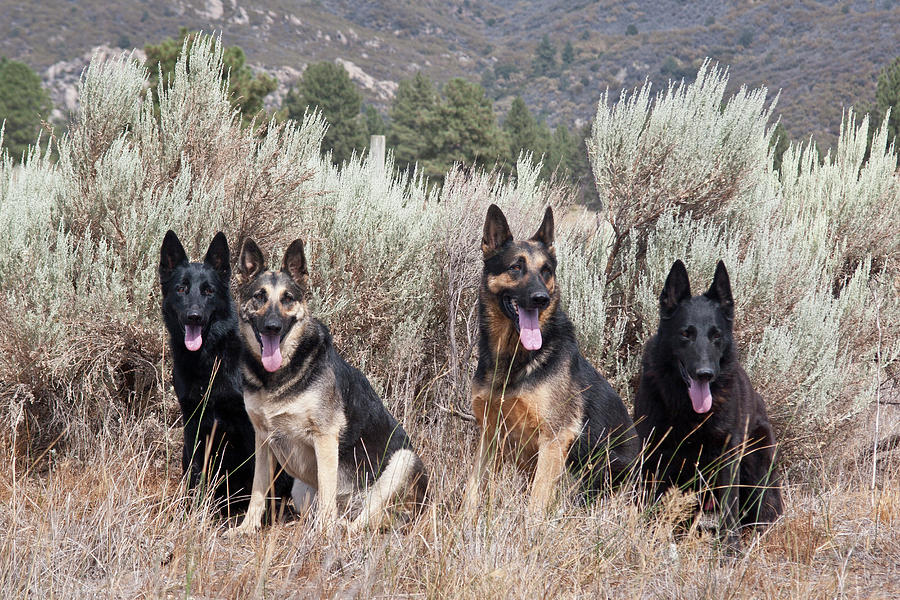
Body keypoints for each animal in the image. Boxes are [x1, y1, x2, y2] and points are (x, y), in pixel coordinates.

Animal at [159, 230, 292, 516]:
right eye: (181, 289)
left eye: (208, 291)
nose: (194, 317)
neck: (210, 360)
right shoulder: (194, 422)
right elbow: (196, 471)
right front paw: (193, 511)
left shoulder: (252, 425)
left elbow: (258, 476)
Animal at [227, 237, 428, 536]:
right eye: (259, 296)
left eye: (287, 298)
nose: (273, 327)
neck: (278, 376)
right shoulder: (262, 438)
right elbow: (258, 491)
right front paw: (247, 528)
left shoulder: (324, 437)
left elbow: (326, 491)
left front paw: (323, 532)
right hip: (300, 490)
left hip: (402, 461)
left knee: (366, 520)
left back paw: (341, 527)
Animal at [464, 206, 640, 516]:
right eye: (516, 267)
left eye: (546, 270)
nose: (541, 299)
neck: (513, 358)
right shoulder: (490, 435)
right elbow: (472, 491)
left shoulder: (554, 439)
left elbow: (536, 502)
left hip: (602, 465)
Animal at [632, 258, 780, 548]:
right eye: (685, 334)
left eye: (716, 335)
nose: (705, 373)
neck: (689, 411)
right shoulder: (653, 454)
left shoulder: (728, 456)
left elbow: (730, 511)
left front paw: (730, 551)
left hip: (757, 465)